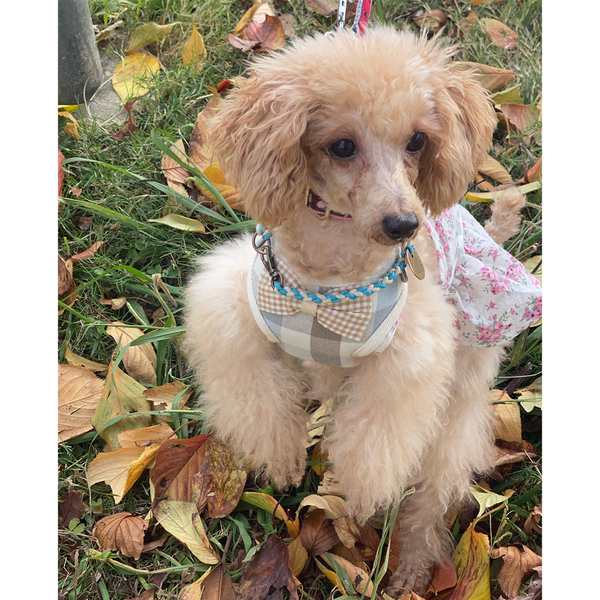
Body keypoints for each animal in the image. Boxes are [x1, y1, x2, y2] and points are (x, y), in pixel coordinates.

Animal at [183, 27, 541, 593]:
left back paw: (412, 568)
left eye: (417, 141)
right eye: (342, 146)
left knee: (434, 488)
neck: (330, 280)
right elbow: (256, 394)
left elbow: (376, 441)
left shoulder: (409, 358)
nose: (404, 225)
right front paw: (283, 457)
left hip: (460, 389)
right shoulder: (233, 307)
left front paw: (357, 495)